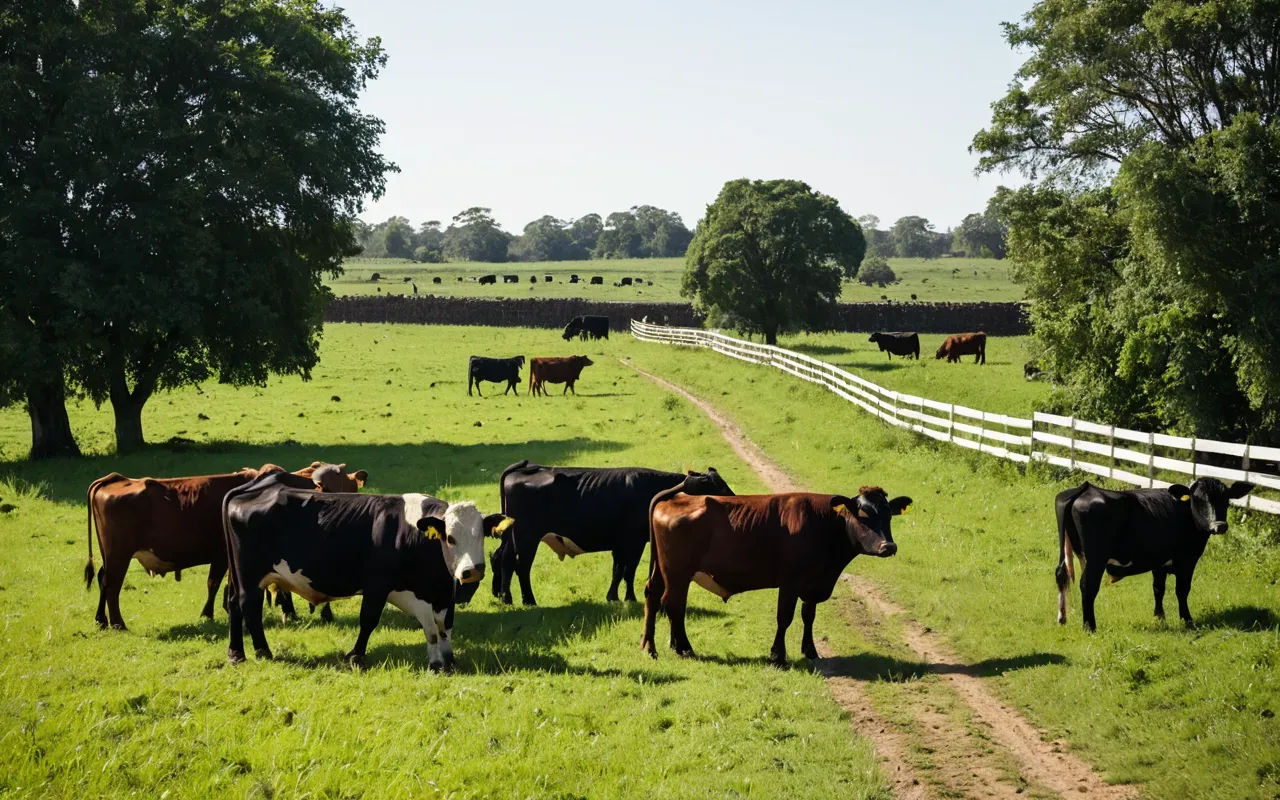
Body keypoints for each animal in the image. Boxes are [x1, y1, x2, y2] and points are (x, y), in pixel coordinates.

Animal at [84, 462, 367, 629]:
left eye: (352, 488)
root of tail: (114, 479)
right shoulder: (226, 556)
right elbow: (218, 583)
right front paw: (211, 613)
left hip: (109, 555)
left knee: (102, 579)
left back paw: (101, 619)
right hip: (119, 555)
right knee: (112, 585)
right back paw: (118, 623)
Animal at [222, 473, 511, 669]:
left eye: (482, 535)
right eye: (449, 538)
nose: (472, 571)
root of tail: (257, 486)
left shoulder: (440, 594)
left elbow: (441, 626)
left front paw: (444, 660)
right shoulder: (377, 586)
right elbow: (369, 619)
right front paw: (355, 655)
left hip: (238, 576)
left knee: (234, 603)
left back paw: (237, 653)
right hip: (250, 576)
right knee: (249, 605)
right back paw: (263, 651)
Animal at [492, 462, 734, 605]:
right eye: (719, 487)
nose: (734, 498)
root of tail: (529, 467)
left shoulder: (622, 544)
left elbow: (619, 570)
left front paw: (616, 597)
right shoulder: (634, 542)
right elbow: (627, 571)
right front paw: (627, 598)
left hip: (512, 537)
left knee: (503, 559)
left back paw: (506, 597)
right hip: (527, 536)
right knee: (521, 566)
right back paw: (528, 600)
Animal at [643, 487, 910, 664]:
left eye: (888, 515)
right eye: (863, 516)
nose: (888, 546)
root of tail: (677, 496)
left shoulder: (813, 584)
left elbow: (808, 616)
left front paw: (810, 651)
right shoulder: (790, 582)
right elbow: (785, 618)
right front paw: (778, 655)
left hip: (664, 572)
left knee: (655, 598)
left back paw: (653, 647)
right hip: (677, 572)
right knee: (674, 604)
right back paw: (683, 647)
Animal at [1054, 479, 1255, 632]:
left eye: (1226, 498)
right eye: (1197, 499)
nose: (1219, 526)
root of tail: (1085, 488)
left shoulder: (1159, 562)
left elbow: (1158, 589)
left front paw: (1159, 616)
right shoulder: (1187, 560)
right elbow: (1182, 590)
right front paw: (1187, 619)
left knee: (1061, 576)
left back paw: (1062, 618)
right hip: (1096, 559)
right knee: (1087, 586)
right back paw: (1090, 626)